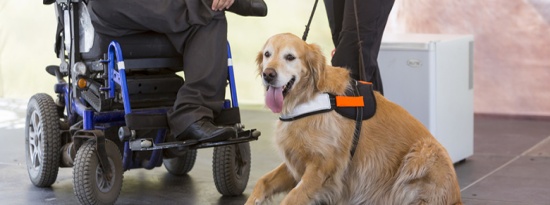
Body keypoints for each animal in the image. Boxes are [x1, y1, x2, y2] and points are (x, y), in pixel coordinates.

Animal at [248, 32, 464, 204]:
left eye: (290, 57)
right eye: (267, 54)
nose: (268, 74)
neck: (308, 96)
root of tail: (457, 196)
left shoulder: (322, 166)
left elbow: (291, 198)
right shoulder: (296, 160)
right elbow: (263, 181)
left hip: (422, 153)